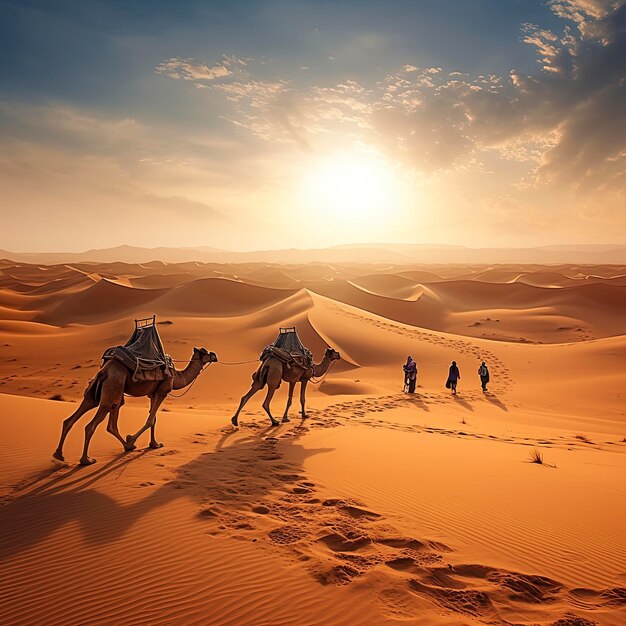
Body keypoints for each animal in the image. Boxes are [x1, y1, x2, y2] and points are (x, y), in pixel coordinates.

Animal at [52, 346, 217, 464]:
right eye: (205, 351)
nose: (215, 355)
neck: (176, 376)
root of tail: (105, 370)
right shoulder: (162, 392)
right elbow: (150, 420)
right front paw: (132, 438)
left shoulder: (153, 393)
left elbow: (154, 419)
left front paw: (154, 444)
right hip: (112, 389)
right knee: (91, 425)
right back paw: (87, 459)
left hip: (98, 393)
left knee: (75, 419)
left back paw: (59, 455)